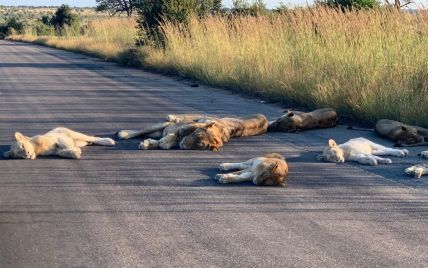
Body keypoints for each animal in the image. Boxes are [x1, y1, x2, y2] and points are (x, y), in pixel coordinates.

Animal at [117, 113, 268, 151]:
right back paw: (123, 133)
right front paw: (165, 142)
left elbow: (159, 142)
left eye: (200, 146)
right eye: (198, 136)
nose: (183, 145)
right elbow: (174, 134)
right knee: (142, 130)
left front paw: (148, 144)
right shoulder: (184, 127)